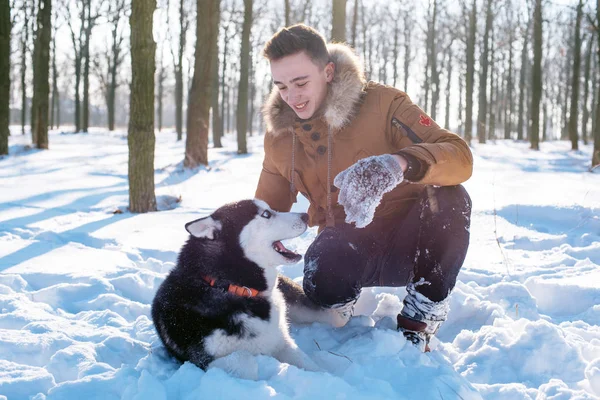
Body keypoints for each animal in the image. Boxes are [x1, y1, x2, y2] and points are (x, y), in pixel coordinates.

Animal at [152, 199, 344, 372]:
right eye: (266, 214)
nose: (305, 215)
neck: (234, 287)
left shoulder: (282, 341)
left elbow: (312, 367)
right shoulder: (206, 359)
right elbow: (246, 362)